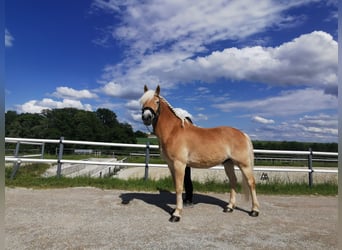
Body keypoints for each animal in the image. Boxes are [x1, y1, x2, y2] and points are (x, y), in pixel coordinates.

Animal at [139, 85, 260, 222]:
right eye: (143, 102)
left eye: (157, 102)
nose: (146, 117)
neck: (173, 131)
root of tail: (243, 134)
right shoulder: (171, 165)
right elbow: (176, 186)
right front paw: (175, 210)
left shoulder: (179, 164)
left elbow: (179, 187)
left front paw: (176, 214)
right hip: (228, 164)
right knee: (233, 181)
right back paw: (229, 207)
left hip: (244, 164)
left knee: (251, 183)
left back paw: (254, 211)